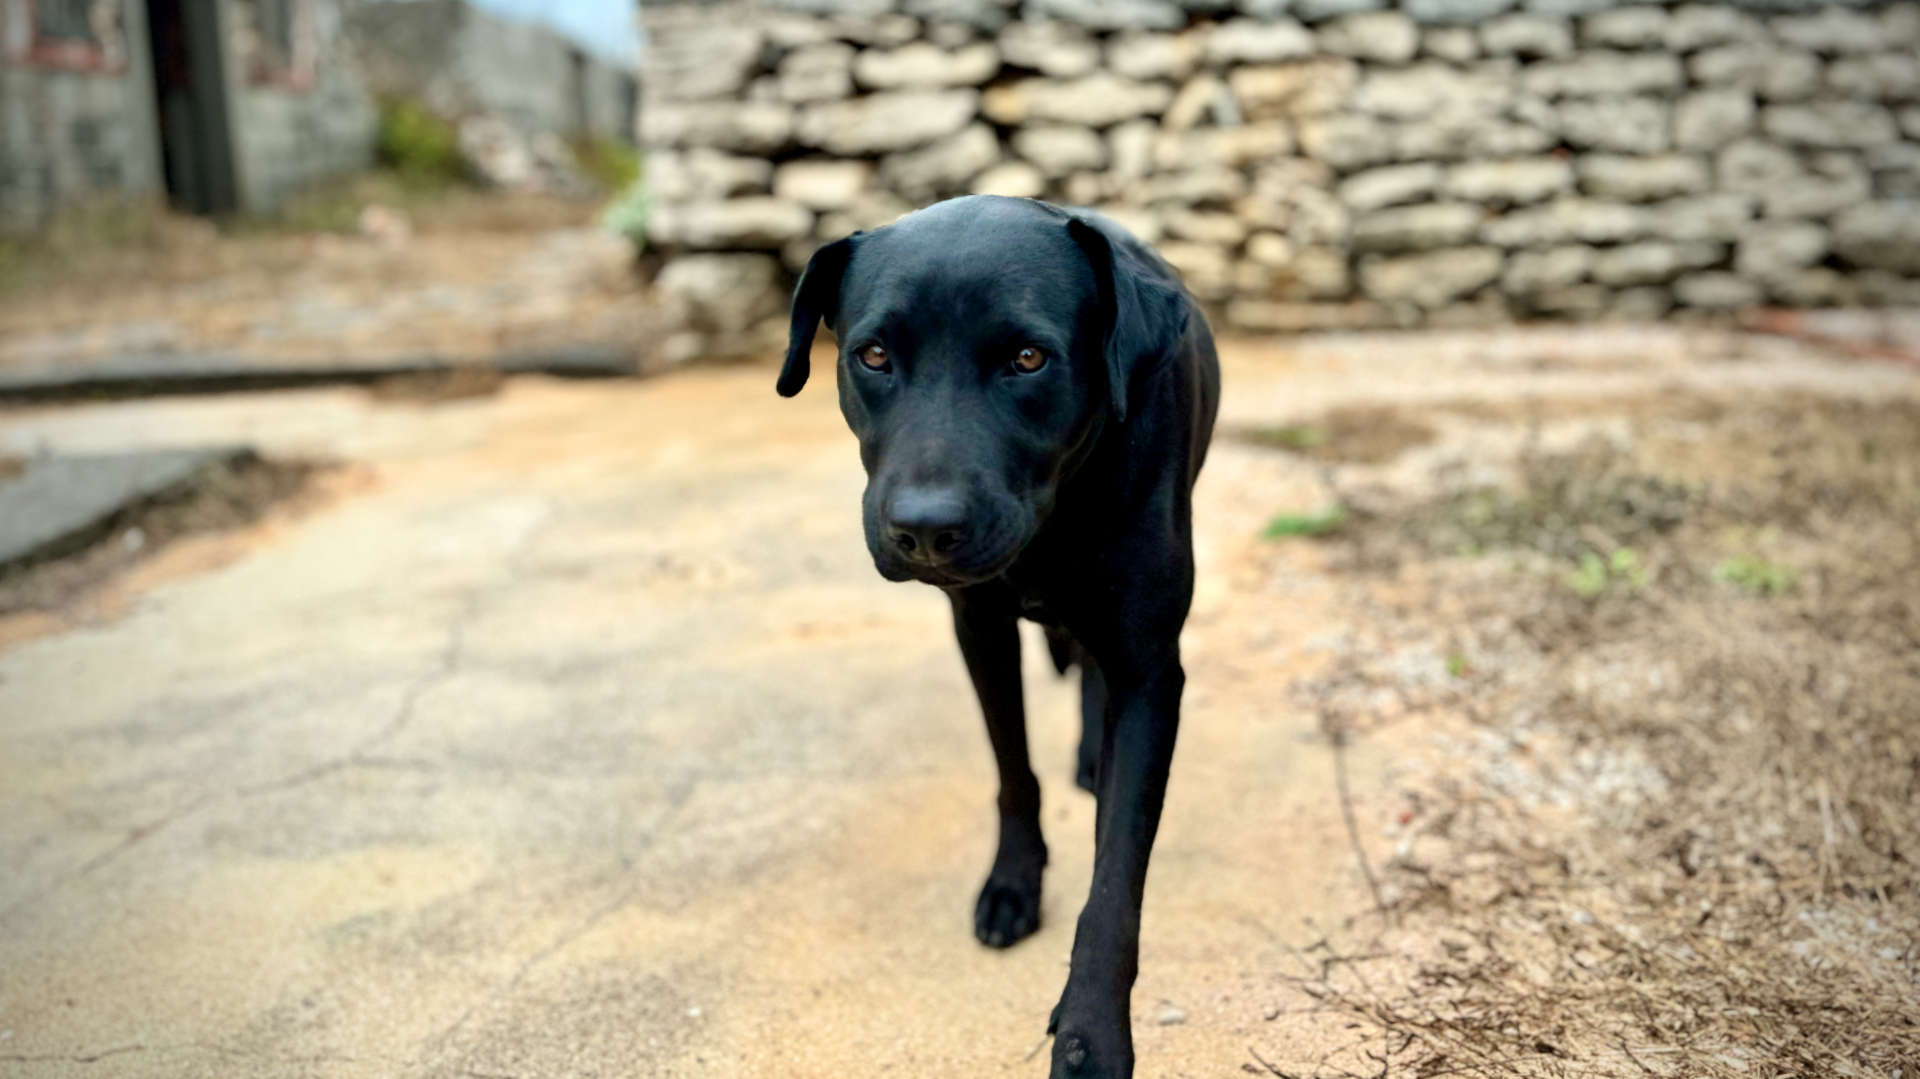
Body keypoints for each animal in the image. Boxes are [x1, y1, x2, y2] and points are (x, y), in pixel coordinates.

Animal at [775, 194, 1213, 1075]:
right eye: (874, 354)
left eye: (1027, 357)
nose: (923, 531)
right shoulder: (979, 627)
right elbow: (1014, 770)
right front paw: (1016, 880)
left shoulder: (1151, 669)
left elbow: (1115, 879)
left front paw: (1090, 1033)